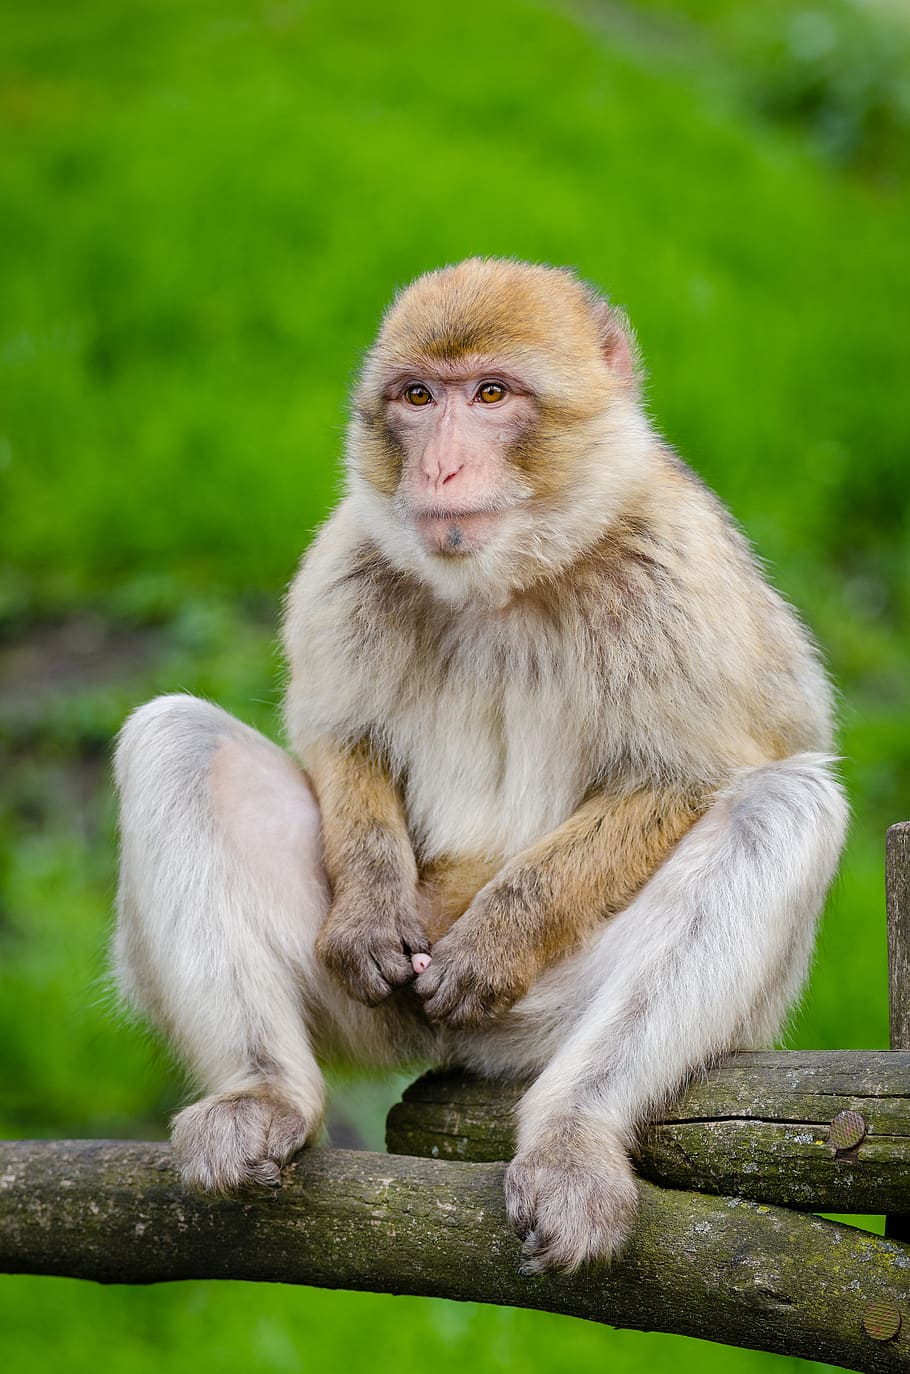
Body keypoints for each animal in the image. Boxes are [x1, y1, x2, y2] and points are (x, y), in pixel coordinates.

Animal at [113, 257, 847, 1274]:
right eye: (419, 397)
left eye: (492, 395)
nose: (440, 466)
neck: (510, 580)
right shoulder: (349, 553)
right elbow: (340, 737)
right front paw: (367, 912)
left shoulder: (672, 573)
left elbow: (687, 775)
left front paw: (498, 937)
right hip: (362, 1009)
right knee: (172, 739)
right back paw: (262, 1095)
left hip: (543, 1019)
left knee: (781, 805)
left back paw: (573, 1139)